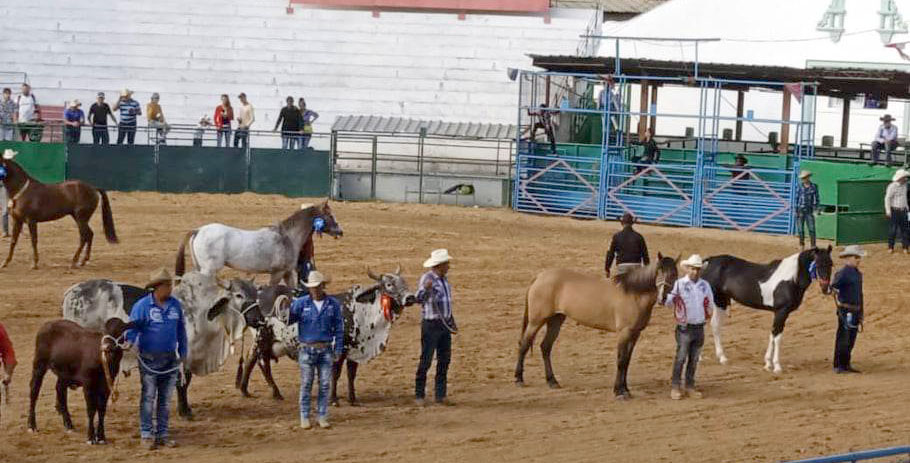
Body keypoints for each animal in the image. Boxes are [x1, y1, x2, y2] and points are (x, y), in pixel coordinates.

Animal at [62, 274, 258, 418]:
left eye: (255, 293)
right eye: (239, 295)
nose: (256, 318)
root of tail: (72, 292)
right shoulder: (181, 356)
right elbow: (181, 383)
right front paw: (184, 412)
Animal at [176, 201, 344, 288]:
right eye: (330, 215)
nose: (340, 231)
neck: (287, 238)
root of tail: (198, 230)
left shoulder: (287, 272)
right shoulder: (277, 273)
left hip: (201, 268)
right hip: (209, 269)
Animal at [239, 268, 416, 406]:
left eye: (404, 282)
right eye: (389, 284)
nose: (410, 297)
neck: (360, 310)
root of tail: (258, 292)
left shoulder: (354, 350)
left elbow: (351, 375)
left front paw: (352, 399)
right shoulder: (339, 350)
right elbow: (335, 374)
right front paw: (334, 399)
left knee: (250, 359)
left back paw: (244, 390)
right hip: (263, 339)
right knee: (263, 364)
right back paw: (276, 393)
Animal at [516, 254, 680, 398]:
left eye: (674, 274)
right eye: (658, 271)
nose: (662, 298)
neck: (633, 294)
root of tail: (539, 277)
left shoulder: (635, 333)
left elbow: (627, 361)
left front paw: (625, 389)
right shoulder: (624, 332)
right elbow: (621, 360)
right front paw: (619, 391)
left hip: (556, 320)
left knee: (545, 347)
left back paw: (552, 381)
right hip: (536, 321)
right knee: (524, 345)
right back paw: (519, 379)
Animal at [700, 246, 836, 374]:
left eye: (831, 264)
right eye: (817, 264)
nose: (826, 288)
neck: (791, 279)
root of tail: (709, 261)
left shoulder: (778, 313)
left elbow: (773, 334)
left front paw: (767, 363)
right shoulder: (781, 311)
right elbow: (777, 337)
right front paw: (777, 366)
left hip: (721, 301)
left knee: (714, 325)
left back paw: (720, 357)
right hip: (714, 301)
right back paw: (707, 357)